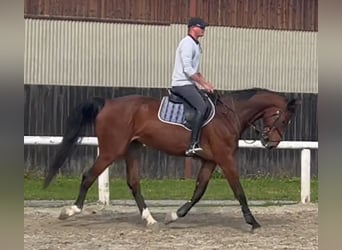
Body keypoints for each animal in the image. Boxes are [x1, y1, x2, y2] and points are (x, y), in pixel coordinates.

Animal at [42, 88, 300, 230]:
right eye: (284, 119)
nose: (271, 143)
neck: (229, 115)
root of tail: (109, 102)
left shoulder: (210, 161)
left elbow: (199, 192)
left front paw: (174, 215)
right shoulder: (226, 160)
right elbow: (239, 191)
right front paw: (252, 222)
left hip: (132, 149)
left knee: (133, 183)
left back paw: (150, 219)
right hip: (110, 151)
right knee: (88, 176)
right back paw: (70, 211)